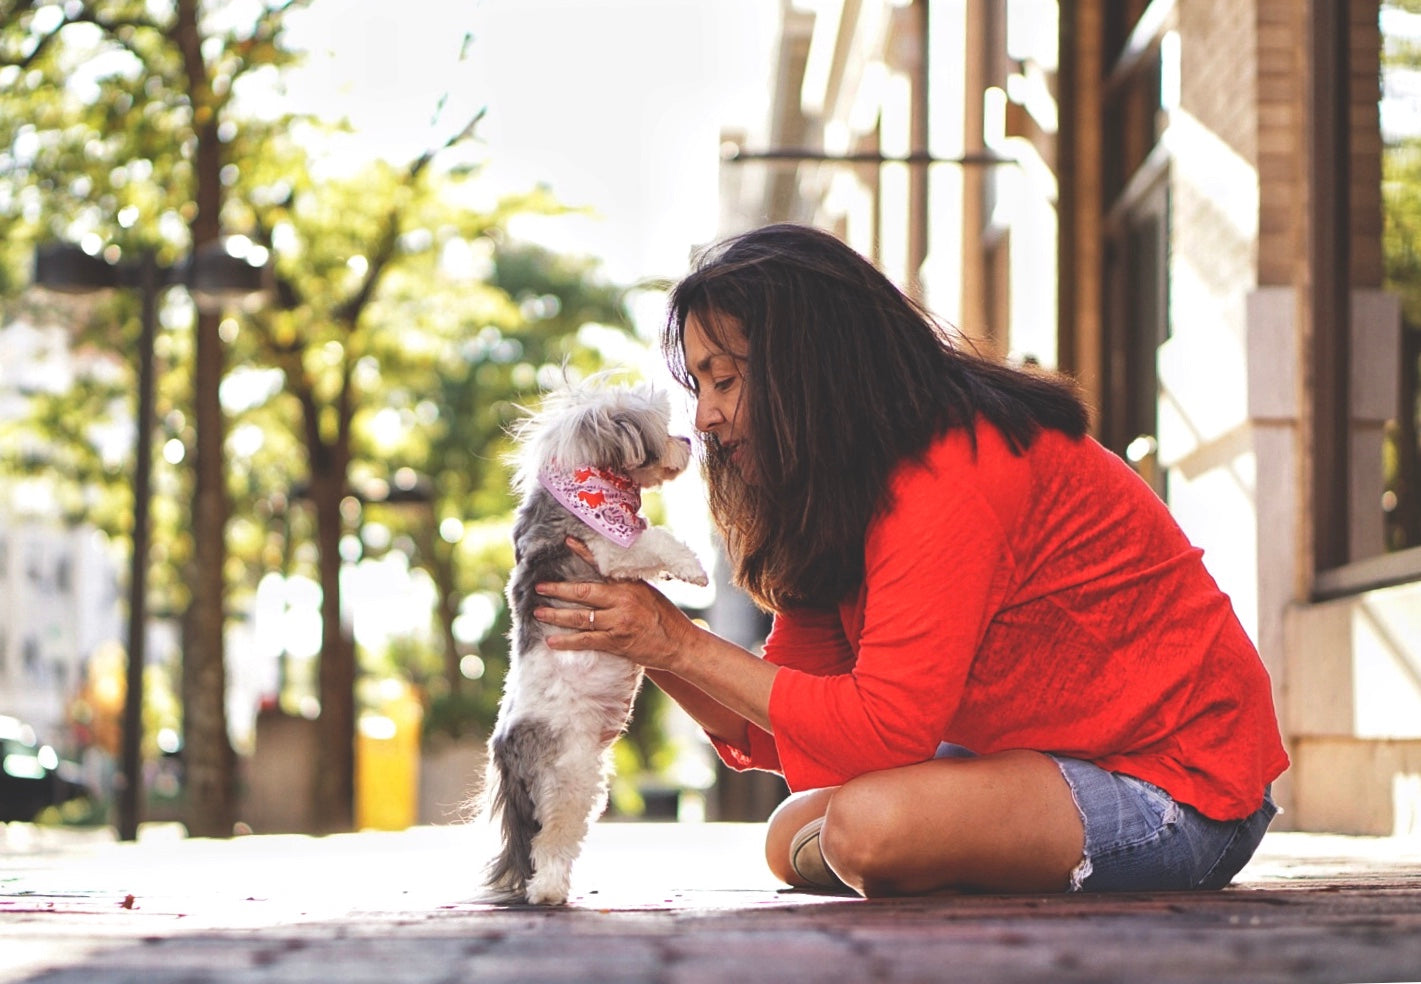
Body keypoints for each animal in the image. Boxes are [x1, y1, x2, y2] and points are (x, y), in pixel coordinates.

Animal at [480, 378, 707, 904]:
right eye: (663, 428)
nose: (687, 440)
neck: (589, 487)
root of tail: (504, 747)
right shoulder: (608, 546)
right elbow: (656, 540)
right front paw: (694, 568)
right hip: (572, 776)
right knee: (551, 840)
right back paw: (548, 891)